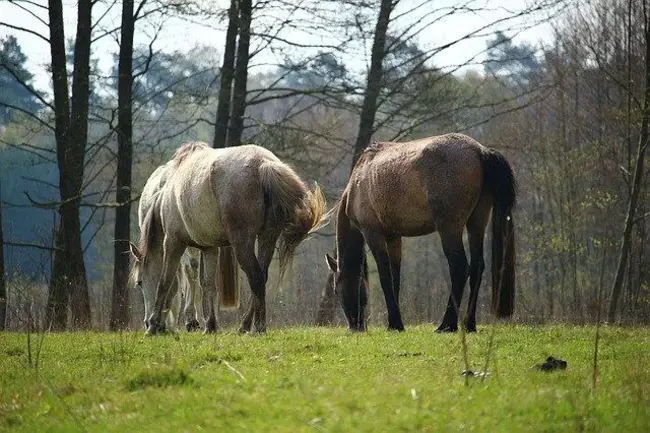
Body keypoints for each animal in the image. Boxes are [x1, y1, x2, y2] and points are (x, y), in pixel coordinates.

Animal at [326, 133, 512, 332]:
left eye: (336, 289)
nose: (356, 325)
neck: (358, 180)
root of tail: (479, 150)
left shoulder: (372, 233)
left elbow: (385, 276)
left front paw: (395, 323)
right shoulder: (393, 237)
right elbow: (395, 277)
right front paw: (395, 322)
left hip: (449, 228)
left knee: (459, 267)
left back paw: (447, 324)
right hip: (476, 223)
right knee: (477, 267)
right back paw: (469, 324)